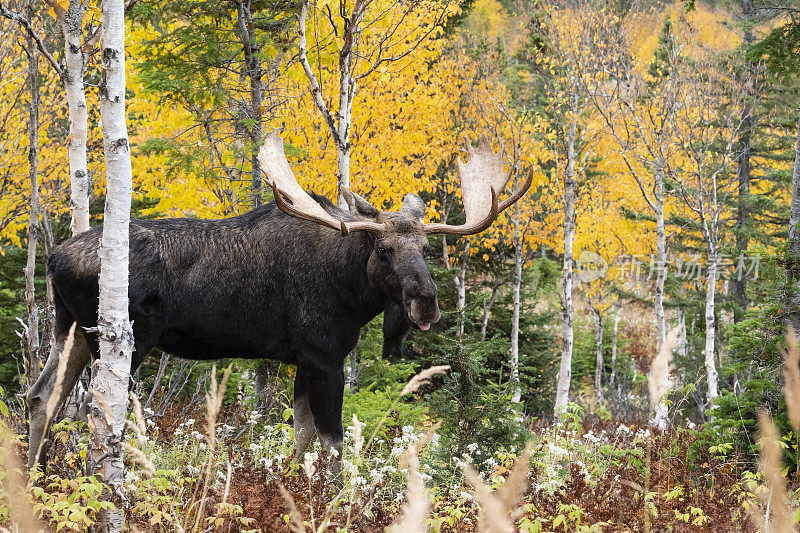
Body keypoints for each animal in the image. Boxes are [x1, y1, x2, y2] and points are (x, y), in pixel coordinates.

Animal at [28, 131, 532, 468]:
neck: (351, 289)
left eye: (425, 248)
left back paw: (34, 481)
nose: (425, 300)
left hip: (70, 329)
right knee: (93, 410)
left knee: (41, 397)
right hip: (122, 341)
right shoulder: (324, 356)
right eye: (384, 249)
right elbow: (332, 441)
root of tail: (54, 258)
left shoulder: (303, 360)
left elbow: (302, 436)